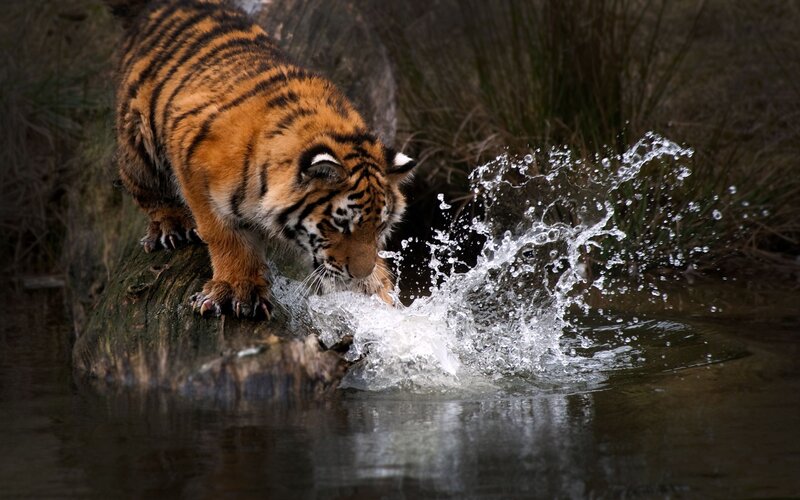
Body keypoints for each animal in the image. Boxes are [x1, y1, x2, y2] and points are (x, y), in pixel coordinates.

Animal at [111, 0, 416, 320]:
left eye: (379, 227)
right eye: (340, 225)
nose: (359, 274)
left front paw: (384, 298)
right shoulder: (195, 169)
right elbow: (225, 237)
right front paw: (237, 290)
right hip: (139, 140)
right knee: (143, 186)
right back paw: (171, 226)